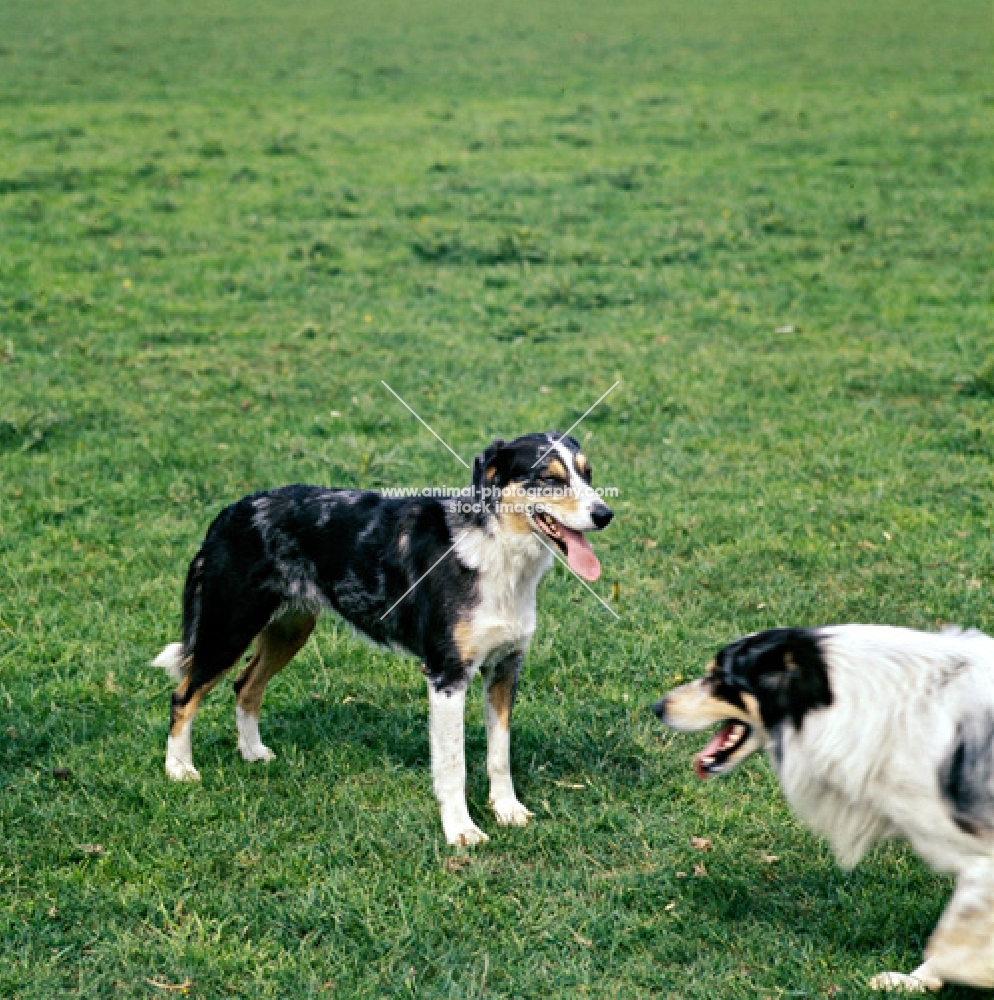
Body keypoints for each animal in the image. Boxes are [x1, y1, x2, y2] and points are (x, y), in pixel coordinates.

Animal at [153, 430, 612, 844]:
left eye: (588, 474)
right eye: (549, 478)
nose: (605, 514)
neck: (495, 552)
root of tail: (231, 510)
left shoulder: (505, 667)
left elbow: (499, 756)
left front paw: (507, 811)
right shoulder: (447, 676)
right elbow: (453, 765)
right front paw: (461, 831)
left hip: (289, 629)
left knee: (245, 685)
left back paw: (251, 752)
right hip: (227, 629)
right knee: (184, 694)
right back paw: (179, 770)